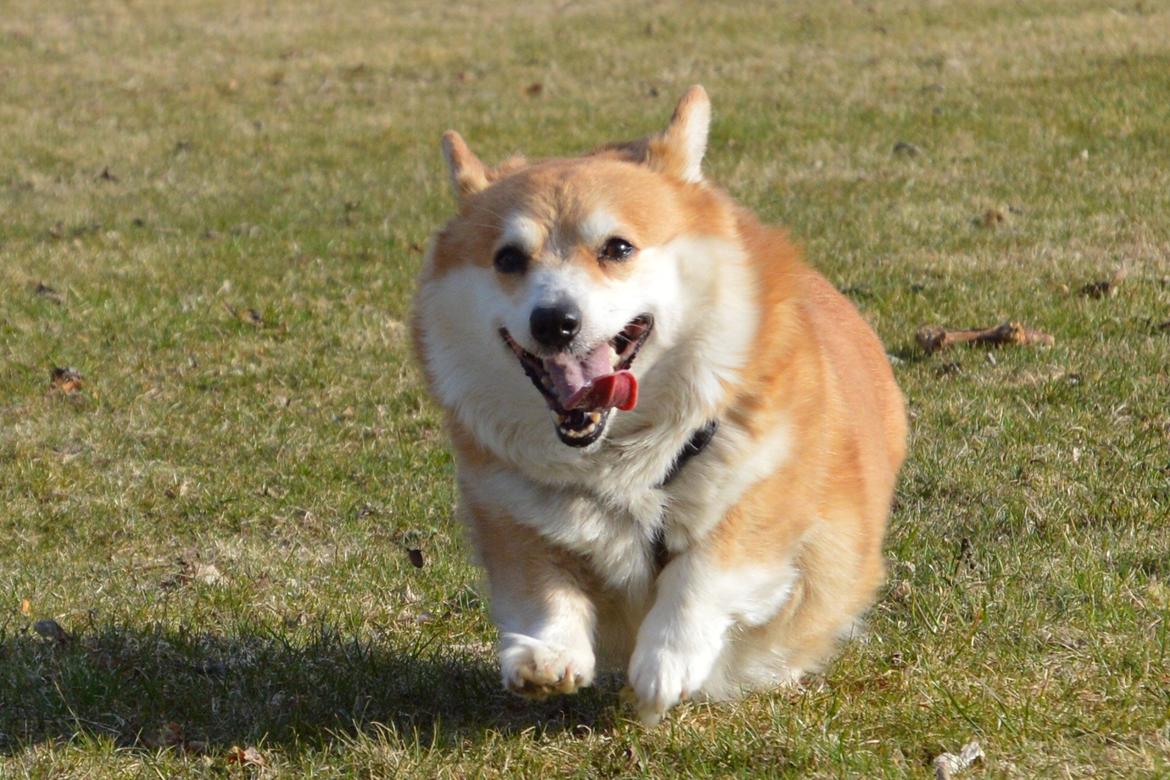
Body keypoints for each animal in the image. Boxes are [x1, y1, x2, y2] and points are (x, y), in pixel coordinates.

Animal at [416, 87, 907, 725]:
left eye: (618, 248)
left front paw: (665, 664)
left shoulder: (766, 492)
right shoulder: (509, 510)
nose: (554, 322)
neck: (621, 457)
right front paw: (546, 655)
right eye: (508, 260)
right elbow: (542, 585)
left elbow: (704, 570)